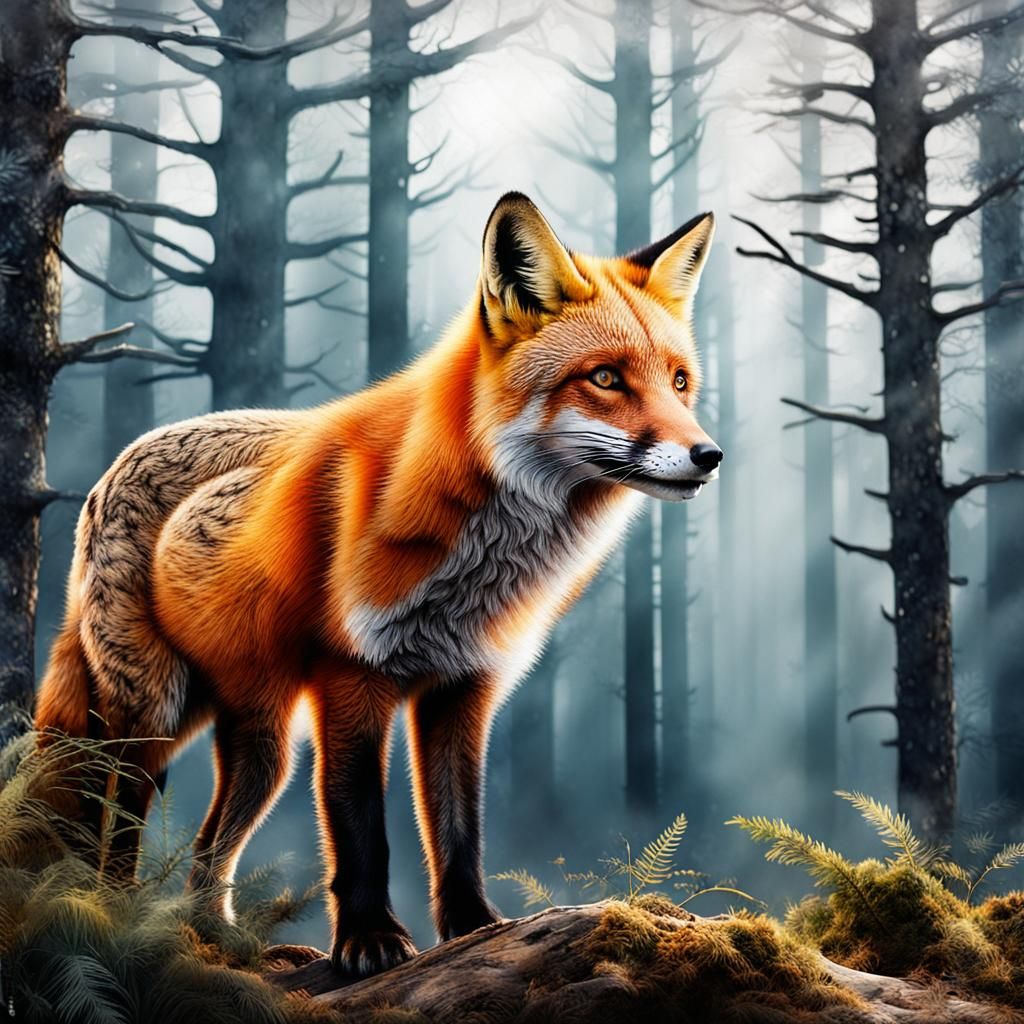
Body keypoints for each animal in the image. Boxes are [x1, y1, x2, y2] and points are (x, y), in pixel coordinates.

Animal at [35, 192, 722, 976]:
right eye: (605, 378)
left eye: (679, 382)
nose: (709, 455)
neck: (477, 566)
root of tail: (113, 470)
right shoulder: (351, 677)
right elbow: (361, 829)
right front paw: (370, 941)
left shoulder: (464, 687)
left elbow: (458, 828)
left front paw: (475, 928)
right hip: (152, 717)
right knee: (114, 825)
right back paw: (119, 919)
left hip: (262, 745)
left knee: (208, 853)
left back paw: (221, 941)